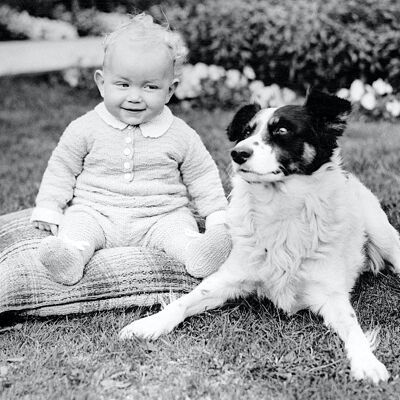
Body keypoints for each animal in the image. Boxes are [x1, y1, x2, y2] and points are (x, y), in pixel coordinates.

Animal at [119, 89, 400, 382]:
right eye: (246, 131)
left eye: (282, 130)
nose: (237, 153)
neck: (281, 210)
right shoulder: (227, 280)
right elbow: (183, 301)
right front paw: (149, 324)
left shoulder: (331, 295)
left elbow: (354, 328)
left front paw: (367, 362)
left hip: (384, 236)